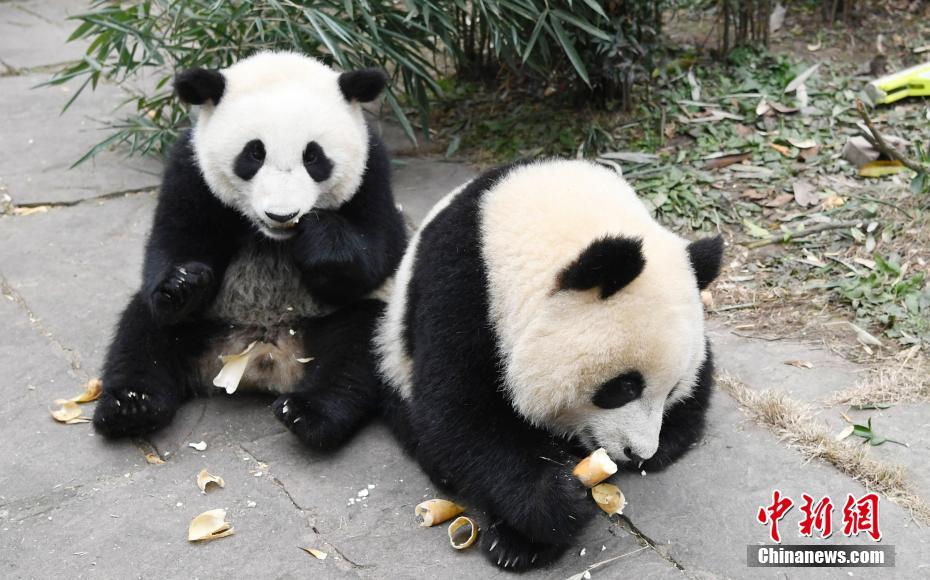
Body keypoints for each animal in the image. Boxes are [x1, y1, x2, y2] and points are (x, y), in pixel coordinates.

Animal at [93, 51, 406, 448]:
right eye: (254, 154)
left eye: (314, 157)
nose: (282, 215)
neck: (273, 238)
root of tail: (264, 360)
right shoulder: (190, 168)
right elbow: (174, 238)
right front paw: (184, 283)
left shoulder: (373, 168)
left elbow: (381, 245)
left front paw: (318, 238)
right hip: (203, 320)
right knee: (143, 334)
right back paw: (131, 407)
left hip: (344, 318)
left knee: (356, 350)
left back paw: (309, 414)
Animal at [374, 159, 720, 572]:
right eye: (623, 387)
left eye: (671, 391)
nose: (638, 452)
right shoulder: (463, 287)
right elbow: (458, 414)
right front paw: (554, 502)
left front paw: (671, 435)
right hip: (394, 357)